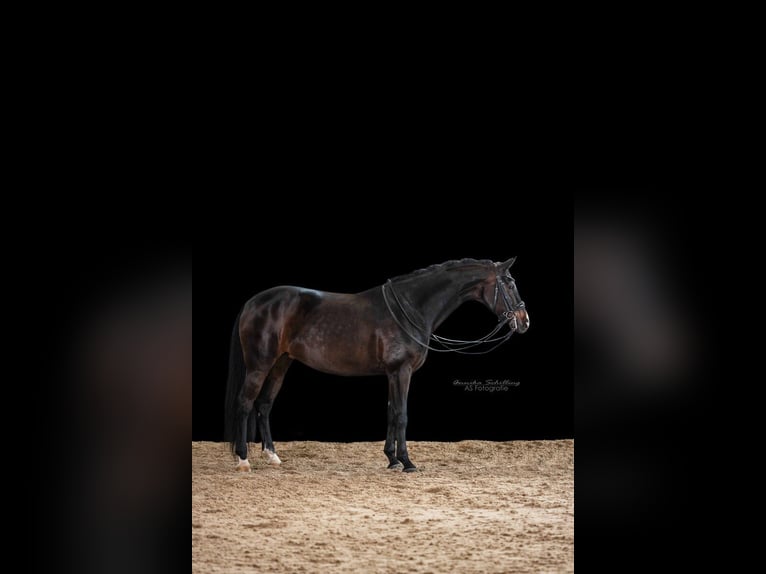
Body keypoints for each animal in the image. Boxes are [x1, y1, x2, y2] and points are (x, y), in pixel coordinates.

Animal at [224, 257, 529, 472]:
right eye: (510, 282)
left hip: (281, 363)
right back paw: (243, 460)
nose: (524, 321)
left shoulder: (393, 374)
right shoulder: (402, 371)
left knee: (264, 405)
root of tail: (254, 302)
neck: (410, 309)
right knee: (244, 403)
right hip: (259, 365)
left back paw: (272, 456)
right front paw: (407, 462)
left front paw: (392, 459)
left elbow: (391, 412)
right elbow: (402, 415)